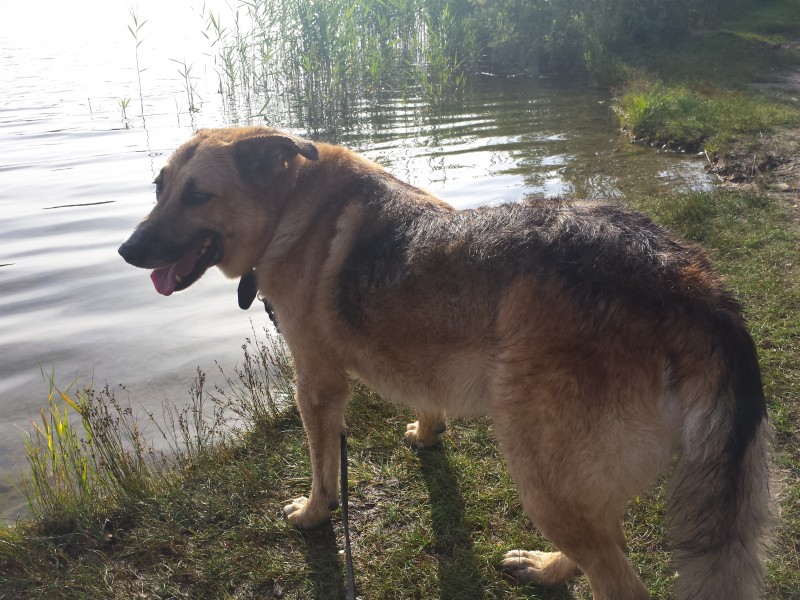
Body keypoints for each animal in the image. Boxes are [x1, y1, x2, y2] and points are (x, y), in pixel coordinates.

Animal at [119, 126, 771, 599]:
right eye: (158, 188)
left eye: (197, 195)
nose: (127, 250)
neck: (291, 206)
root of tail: (690, 283)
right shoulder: (419, 362)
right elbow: (427, 401)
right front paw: (427, 432)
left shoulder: (317, 385)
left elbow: (323, 468)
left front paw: (313, 513)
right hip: (573, 481)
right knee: (605, 544)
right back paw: (548, 569)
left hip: (542, 471)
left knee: (619, 581)